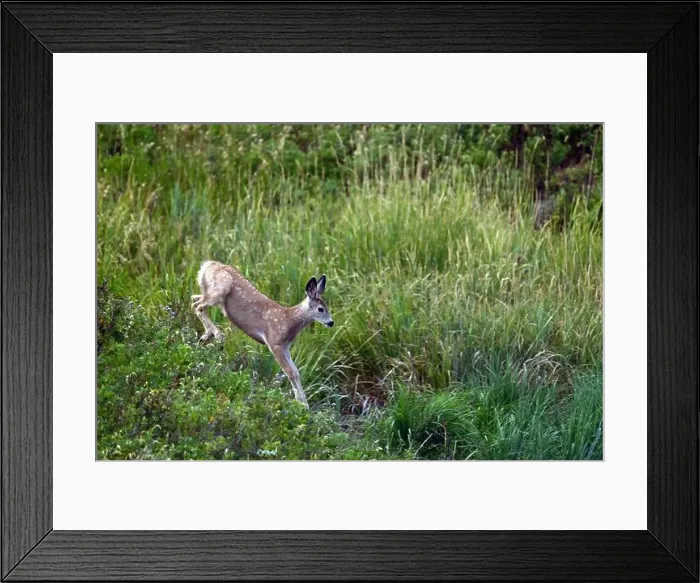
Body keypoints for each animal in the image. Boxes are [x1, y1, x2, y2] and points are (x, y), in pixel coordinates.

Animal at [191, 260, 334, 408]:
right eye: (320, 309)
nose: (331, 322)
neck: (288, 321)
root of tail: (208, 265)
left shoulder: (285, 347)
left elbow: (296, 371)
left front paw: (303, 403)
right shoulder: (275, 343)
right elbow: (290, 372)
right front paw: (302, 404)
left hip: (209, 292)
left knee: (194, 299)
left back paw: (206, 335)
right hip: (220, 289)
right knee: (198, 306)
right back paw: (217, 334)